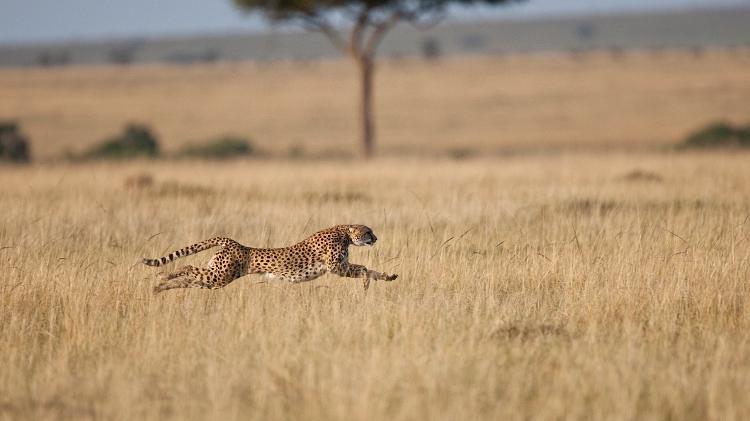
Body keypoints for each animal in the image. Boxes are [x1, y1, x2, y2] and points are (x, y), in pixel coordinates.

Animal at [142, 225, 400, 294]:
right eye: (368, 231)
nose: (376, 238)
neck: (344, 233)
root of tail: (232, 241)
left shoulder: (342, 266)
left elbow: (371, 269)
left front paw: (387, 276)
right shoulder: (337, 267)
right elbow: (363, 268)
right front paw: (367, 282)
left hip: (215, 277)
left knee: (190, 278)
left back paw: (160, 286)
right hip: (220, 275)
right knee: (186, 266)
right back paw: (163, 276)